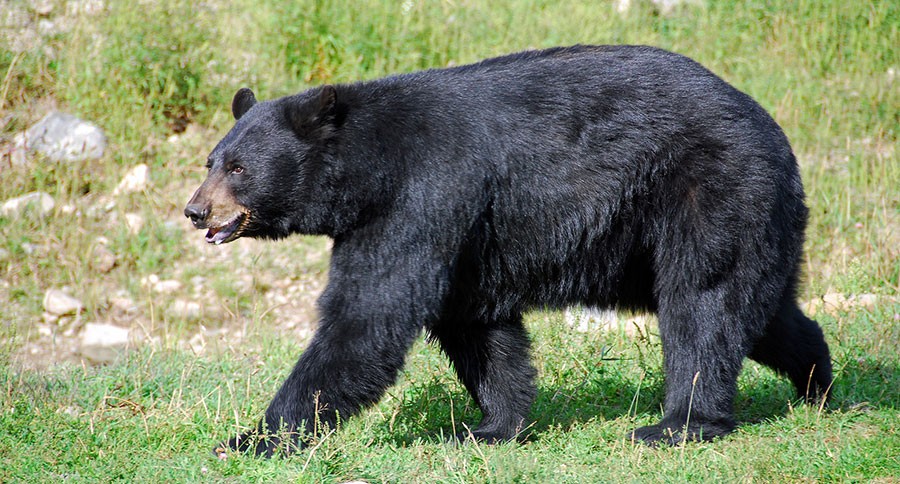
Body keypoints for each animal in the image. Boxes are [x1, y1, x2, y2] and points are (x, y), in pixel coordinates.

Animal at [184, 45, 832, 457]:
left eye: (238, 168)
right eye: (211, 161)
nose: (195, 211)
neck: (369, 171)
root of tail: (774, 131)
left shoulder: (423, 194)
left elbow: (367, 319)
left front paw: (249, 441)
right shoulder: (462, 233)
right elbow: (475, 325)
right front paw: (494, 426)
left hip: (710, 189)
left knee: (702, 300)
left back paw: (679, 424)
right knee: (759, 307)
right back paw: (817, 381)